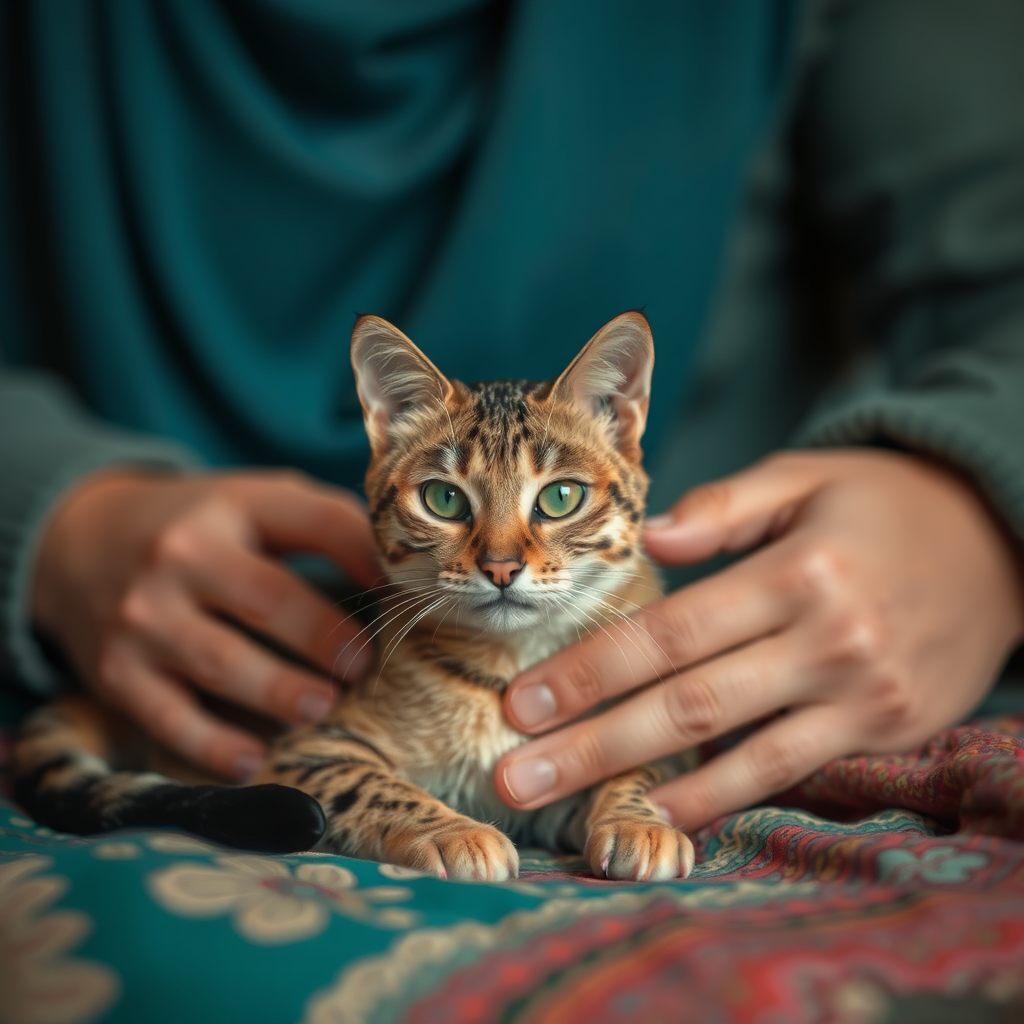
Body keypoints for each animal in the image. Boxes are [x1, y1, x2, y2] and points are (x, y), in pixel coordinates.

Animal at [12, 309, 692, 880]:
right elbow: (377, 785)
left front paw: (636, 818)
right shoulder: (309, 751)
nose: (501, 567)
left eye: (560, 496)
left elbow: (642, 765)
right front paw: (452, 830)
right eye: (444, 499)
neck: (507, 665)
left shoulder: (550, 771)